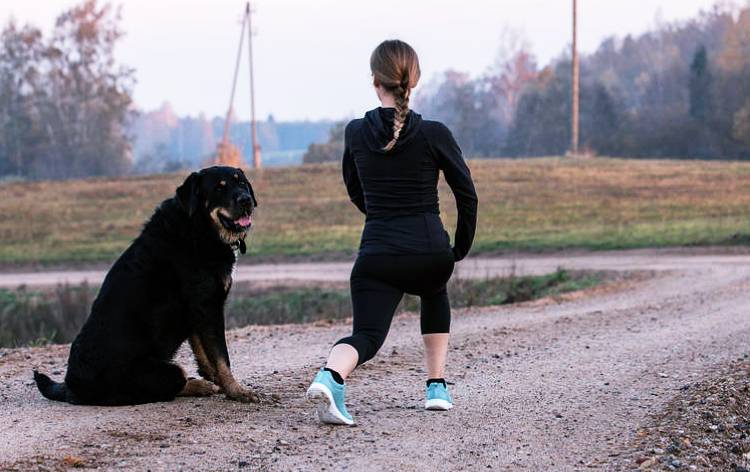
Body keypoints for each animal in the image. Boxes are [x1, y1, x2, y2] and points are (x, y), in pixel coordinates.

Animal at [33, 167, 260, 406]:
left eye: (242, 183)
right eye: (219, 188)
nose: (246, 200)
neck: (199, 227)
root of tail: (71, 386)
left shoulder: (198, 311)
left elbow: (204, 352)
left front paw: (216, 379)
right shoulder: (207, 306)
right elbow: (221, 356)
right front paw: (236, 391)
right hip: (159, 373)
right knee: (172, 383)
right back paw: (197, 385)